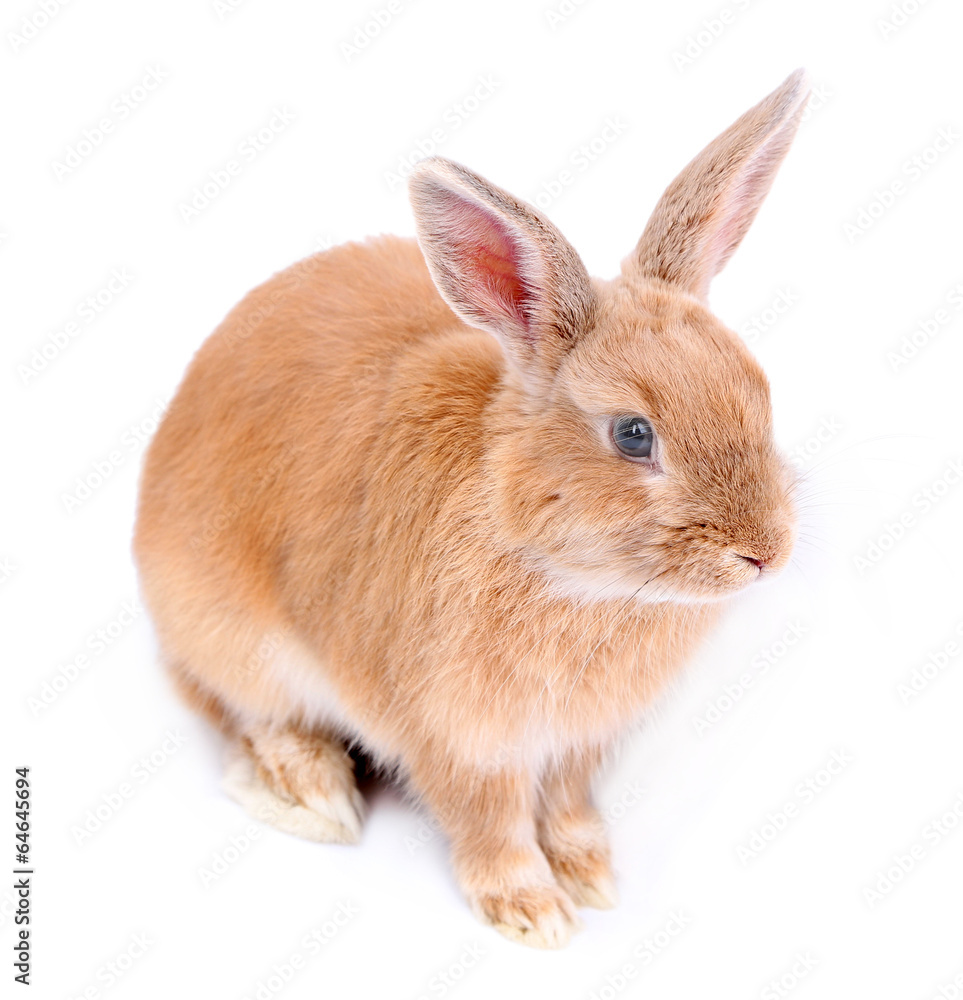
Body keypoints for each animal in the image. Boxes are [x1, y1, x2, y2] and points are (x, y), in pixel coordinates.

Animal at [133, 69, 809, 948]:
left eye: (758, 393)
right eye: (633, 435)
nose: (765, 552)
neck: (562, 571)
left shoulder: (575, 746)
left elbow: (566, 807)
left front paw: (589, 874)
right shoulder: (456, 737)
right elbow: (489, 822)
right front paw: (532, 912)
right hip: (229, 632)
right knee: (236, 708)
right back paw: (313, 793)